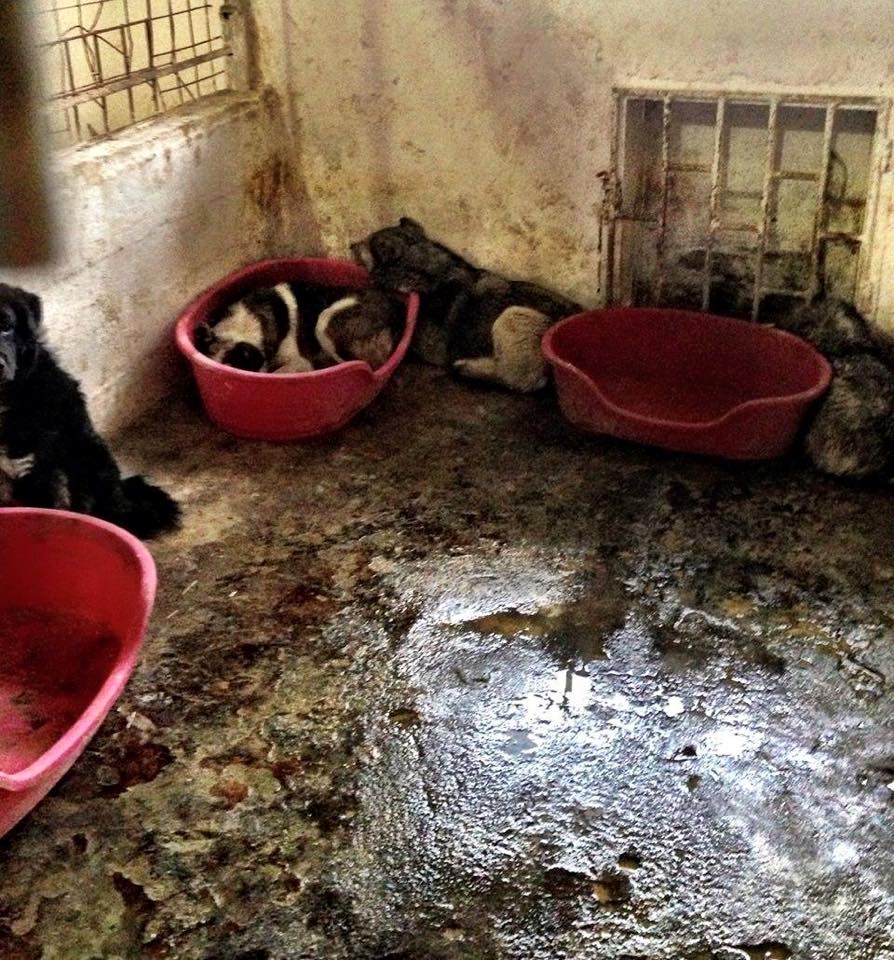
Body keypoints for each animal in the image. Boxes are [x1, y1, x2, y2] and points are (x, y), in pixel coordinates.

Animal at [351, 217, 582, 392]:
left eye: (366, 244)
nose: (350, 245)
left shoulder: (433, 344)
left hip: (512, 316)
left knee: (521, 381)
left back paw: (471, 368)